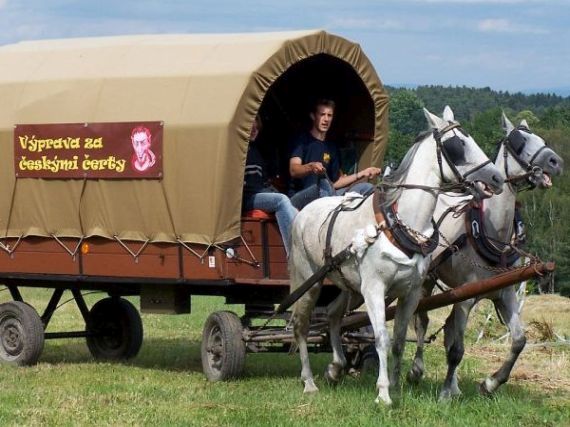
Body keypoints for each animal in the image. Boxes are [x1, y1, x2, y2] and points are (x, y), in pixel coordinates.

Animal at [288, 106, 502, 404]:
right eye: (457, 145)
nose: (497, 178)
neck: (398, 223)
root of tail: (304, 211)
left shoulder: (410, 292)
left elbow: (399, 340)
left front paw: (397, 385)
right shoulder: (375, 289)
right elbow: (381, 338)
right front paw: (383, 393)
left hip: (348, 285)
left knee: (333, 314)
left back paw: (336, 367)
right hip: (309, 281)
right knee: (301, 325)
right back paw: (308, 381)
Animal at [406, 113, 560, 402]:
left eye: (541, 139)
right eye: (519, 141)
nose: (556, 162)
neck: (491, 231)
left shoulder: (505, 294)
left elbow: (519, 340)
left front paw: (490, 383)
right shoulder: (465, 299)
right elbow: (457, 349)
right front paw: (444, 394)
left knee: (446, 328)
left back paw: (454, 385)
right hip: (427, 281)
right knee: (421, 321)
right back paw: (416, 371)